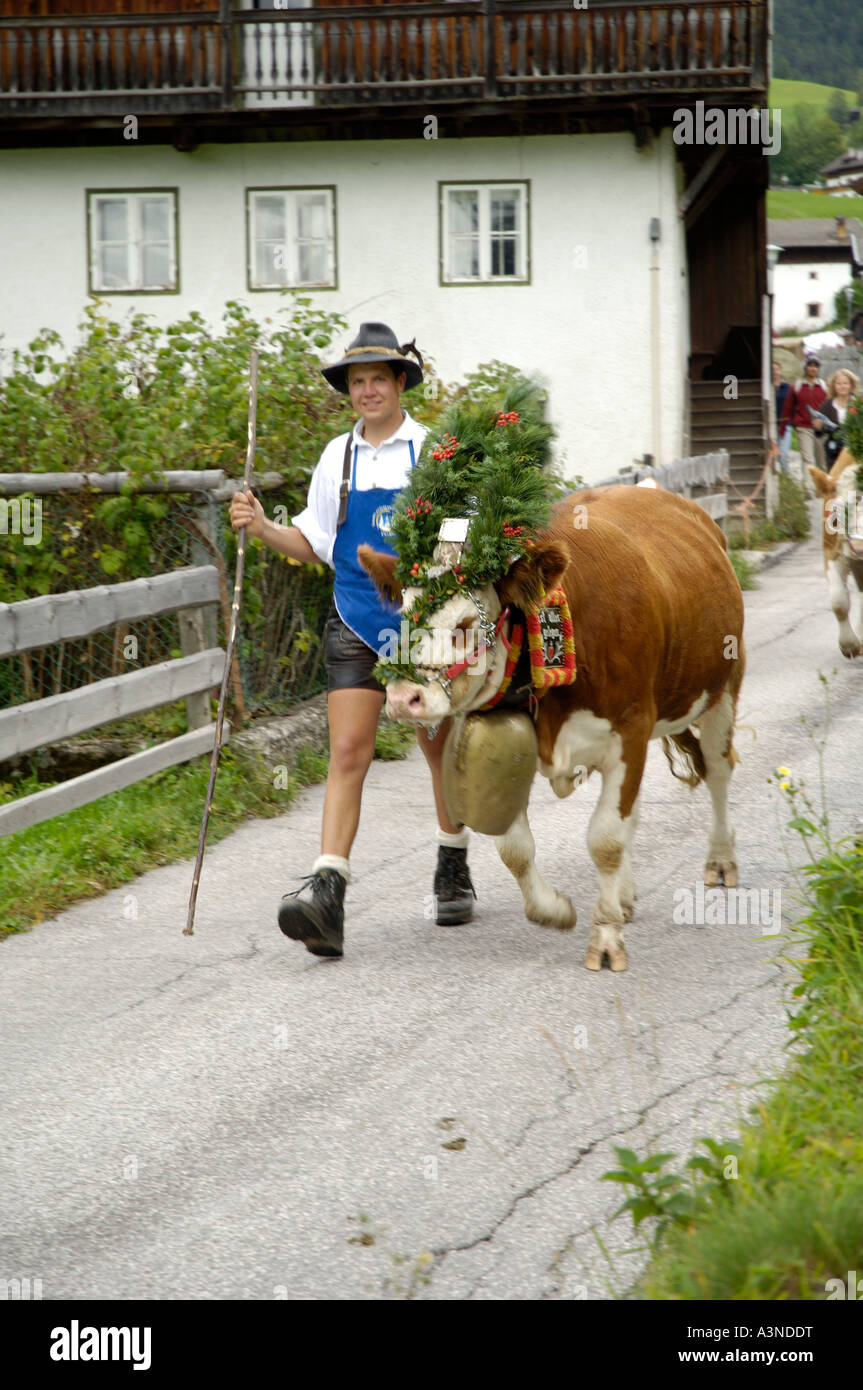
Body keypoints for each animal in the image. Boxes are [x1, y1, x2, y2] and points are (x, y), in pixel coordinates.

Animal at [359, 484, 745, 972]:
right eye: (405, 615)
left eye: (465, 624)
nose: (403, 697)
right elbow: (515, 848)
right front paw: (556, 910)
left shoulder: (630, 730)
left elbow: (605, 840)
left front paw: (606, 939)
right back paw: (624, 895)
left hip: (723, 688)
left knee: (718, 770)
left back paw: (720, 860)